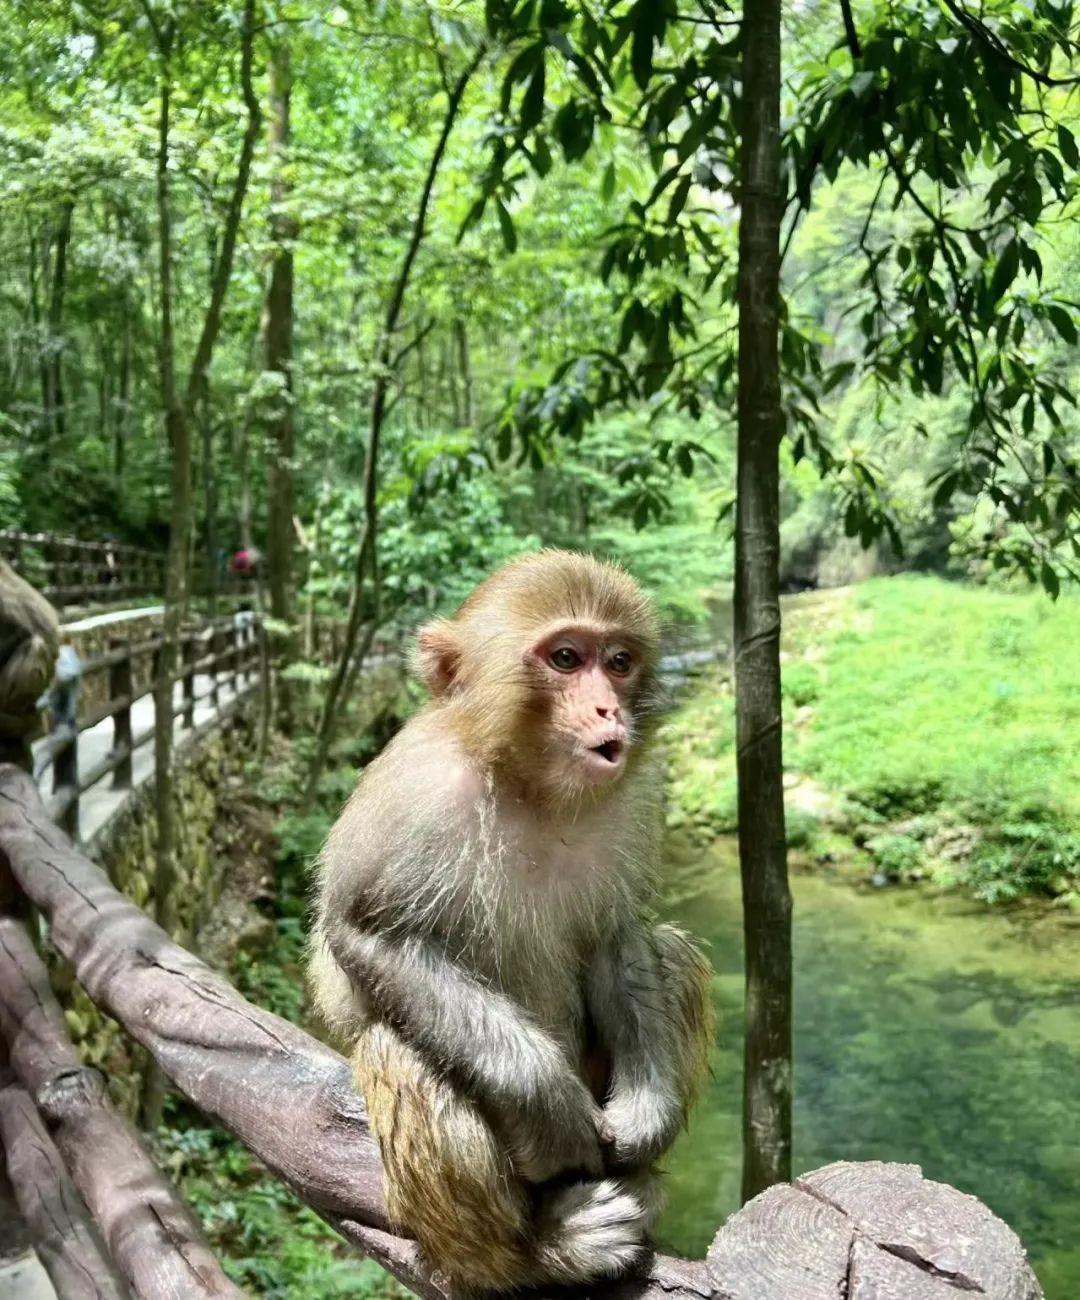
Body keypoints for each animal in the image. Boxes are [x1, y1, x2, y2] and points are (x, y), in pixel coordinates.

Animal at [308, 548, 712, 1289]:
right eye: (565, 658)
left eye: (618, 661)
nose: (609, 707)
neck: (531, 790)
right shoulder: (413, 789)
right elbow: (369, 931)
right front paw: (548, 1105)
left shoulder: (635, 799)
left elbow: (618, 936)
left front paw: (647, 1113)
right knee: (397, 1048)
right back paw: (537, 1252)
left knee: (671, 950)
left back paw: (640, 1184)